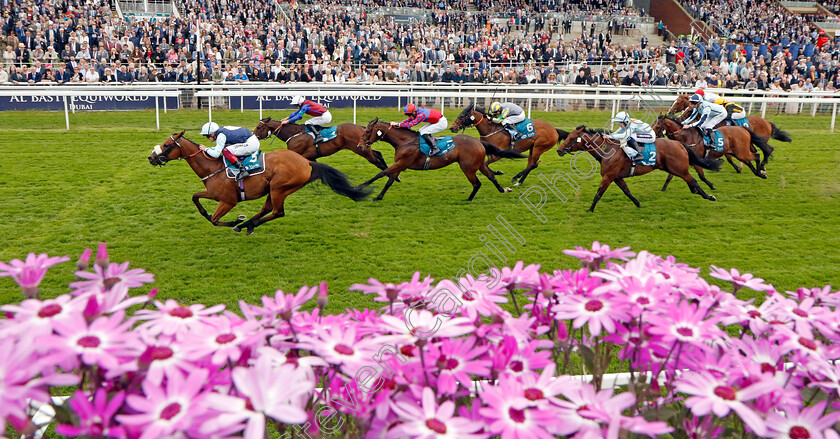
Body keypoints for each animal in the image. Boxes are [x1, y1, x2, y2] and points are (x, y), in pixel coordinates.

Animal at [148, 131, 370, 235]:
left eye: (166, 145)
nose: (151, 158)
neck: (213, 167)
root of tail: (306, 162)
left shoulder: (228, 201)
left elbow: (215, 220)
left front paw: (234, 221)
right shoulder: (211, 192)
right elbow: (195, 198)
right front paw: (222, 218)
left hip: (280, 188)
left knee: (277, 212)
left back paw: (245, 224)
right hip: (273, 189)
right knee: (268, 209)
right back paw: (247, 225)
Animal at [251, 118, 392, 174]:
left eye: (258, 127)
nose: (252, 136)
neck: (294, 134)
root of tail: (362, 129)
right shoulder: (311, 156)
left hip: (362, 150)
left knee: (376, 161)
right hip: (364, 147)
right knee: (378, 154)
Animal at [356, 120, 524, 203]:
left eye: (368, 131)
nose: (360, 145)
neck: (405, 141)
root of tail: (479, 141)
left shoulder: (402, 163)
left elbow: (381, 173)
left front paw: (359, 187)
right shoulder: (400, 165)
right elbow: (389, 180)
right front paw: (378, 197)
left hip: (468, 168)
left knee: (477, 183)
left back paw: (468, 199)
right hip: (479, 164)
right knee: (491, 176)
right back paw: (503, 189)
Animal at [556, 125, 720, 213]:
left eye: (572, 138)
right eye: (567, 136)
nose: (559, 150)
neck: (607, 150)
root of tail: (679, 144)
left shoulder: (608, 176)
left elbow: (598, 194)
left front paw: (590, 209)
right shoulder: (617, 177)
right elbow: (627, 191)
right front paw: (638, 204)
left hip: (680, 169)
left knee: (693, 180)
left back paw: (709, 196)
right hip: (673, 168)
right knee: (690, 181)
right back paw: (698, 192)